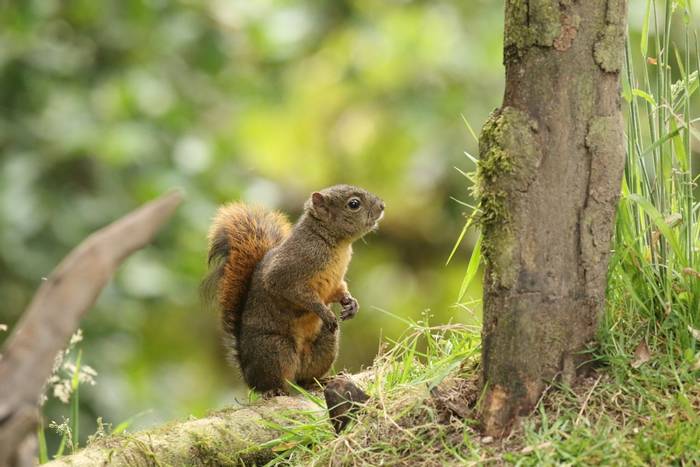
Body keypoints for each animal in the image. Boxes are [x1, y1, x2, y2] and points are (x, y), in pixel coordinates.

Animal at [202, 185, 386, 394]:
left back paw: (320, 381)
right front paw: (324, 312)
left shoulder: (335, 281)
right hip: (277, 349)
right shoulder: (286, 272)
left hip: (325, 343)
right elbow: (299, 294)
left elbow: (338, 291)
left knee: (304, 379)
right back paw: (275, 391)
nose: (382, 206)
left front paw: (351, 304)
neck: (334, 242)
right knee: (274, 381)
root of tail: (247, 372)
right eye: (354, 204)